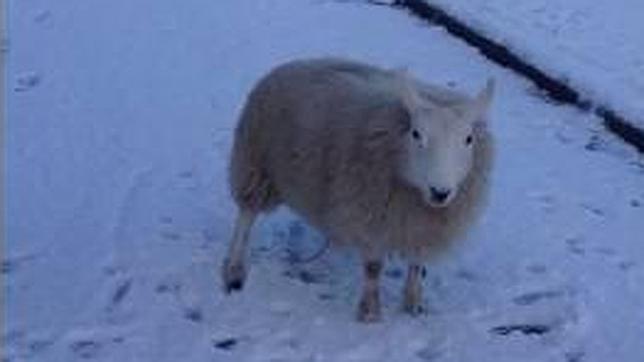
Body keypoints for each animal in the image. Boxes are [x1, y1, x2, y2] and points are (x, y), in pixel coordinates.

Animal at [221, 58, 494, 322]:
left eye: (468, 139)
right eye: (416, 134)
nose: (440, 192)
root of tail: (294, 63)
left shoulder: (421, 225)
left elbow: (417, 263)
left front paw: (413, 303)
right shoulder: (369, 214)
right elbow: (373, 268)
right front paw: (370, 313)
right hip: (256, 163)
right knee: (246, 216)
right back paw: (234, 270)